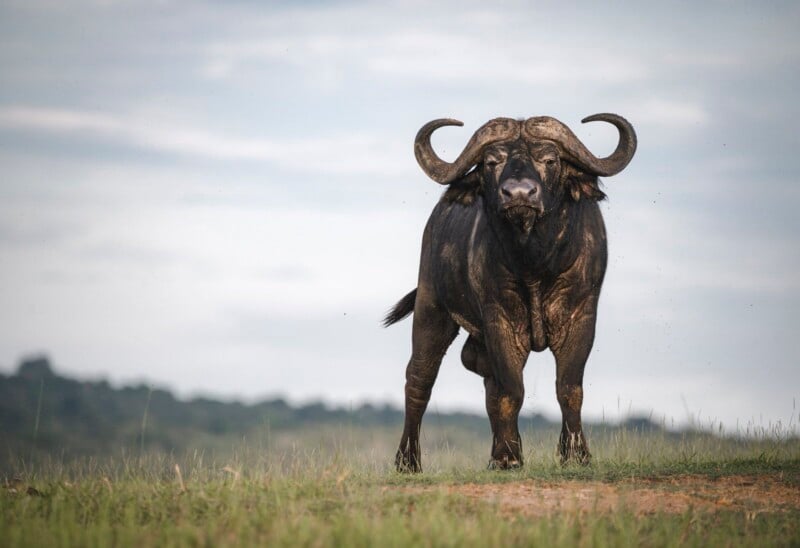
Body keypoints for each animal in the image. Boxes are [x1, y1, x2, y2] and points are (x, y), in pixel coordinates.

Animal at [384, 112, 636, 470]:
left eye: (550, 159)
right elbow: (512, 391)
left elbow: (568, 388)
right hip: (431, 308)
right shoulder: (499, 319)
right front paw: (508, 458)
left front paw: (574, 454)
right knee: (419, 380)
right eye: (492, 161)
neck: (535, 265)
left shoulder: (581, 316)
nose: (519, 194)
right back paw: (408, 461)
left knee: (486, 381)